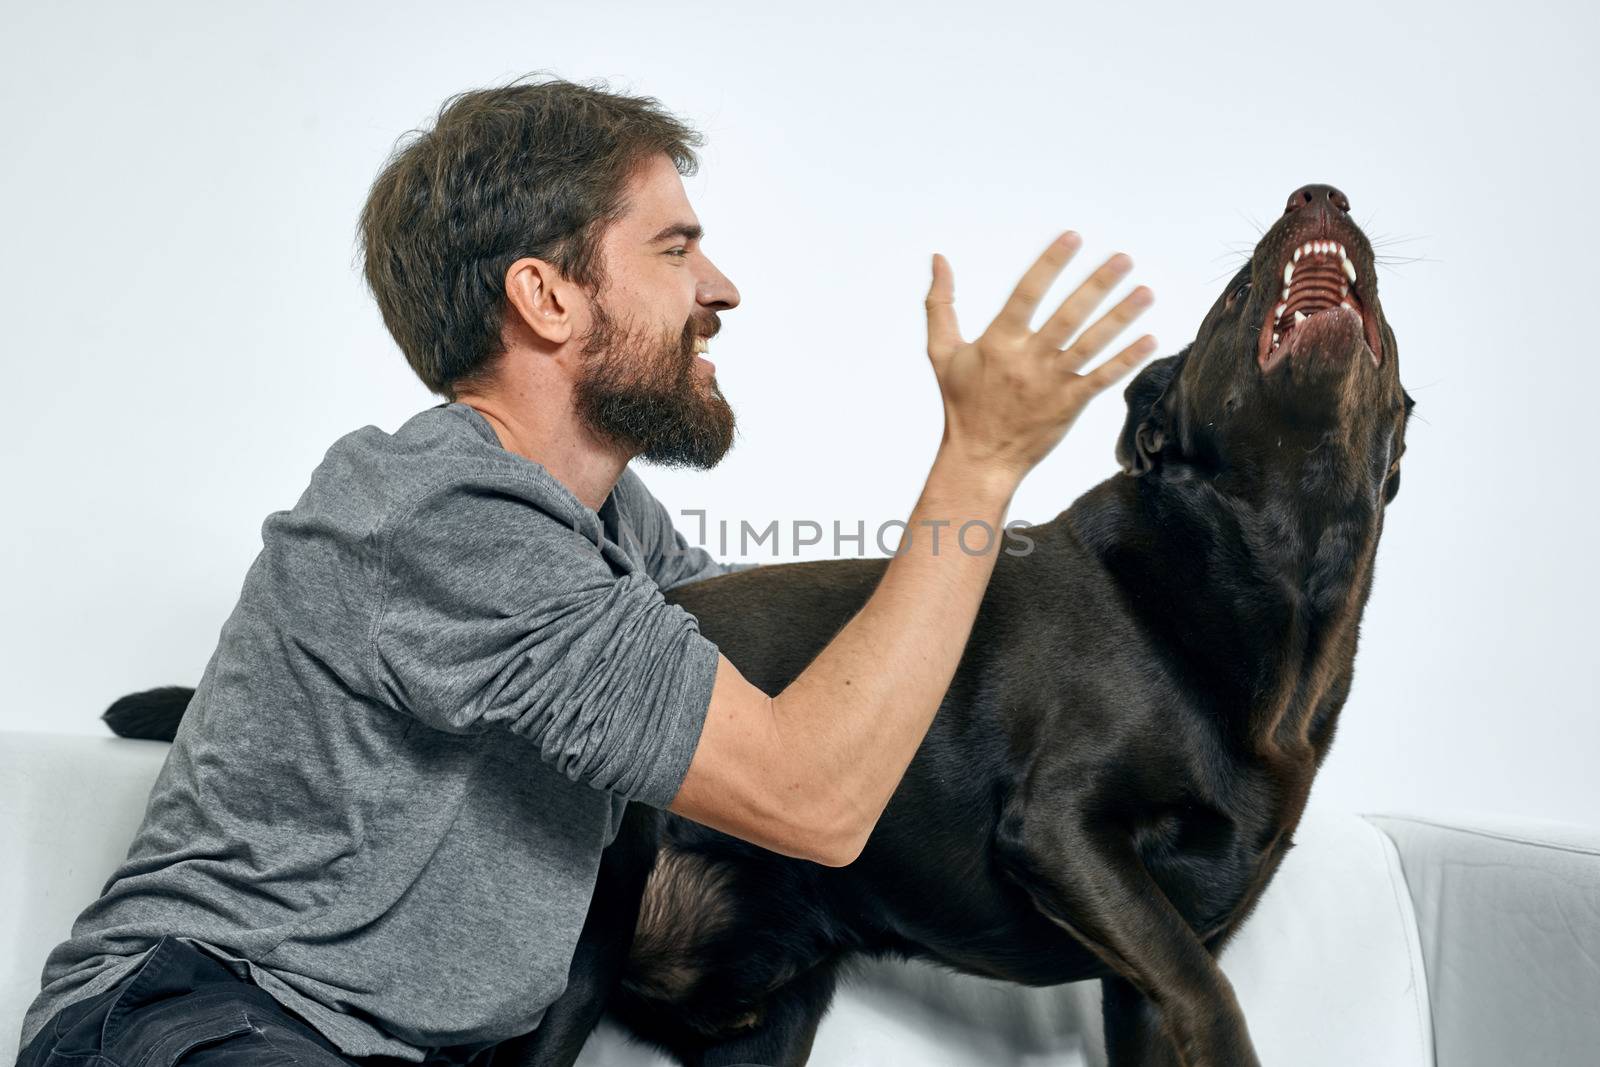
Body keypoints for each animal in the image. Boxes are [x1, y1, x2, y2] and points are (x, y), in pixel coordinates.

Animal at [109, 187, 1414, 1067]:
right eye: (1232, 295)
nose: (1322, 195)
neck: (1269, 595)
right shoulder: (1067, 834)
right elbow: (1215, 1000)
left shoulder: (1138, 971)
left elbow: (1180, 993)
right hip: (573, 969)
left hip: (764, 1021)